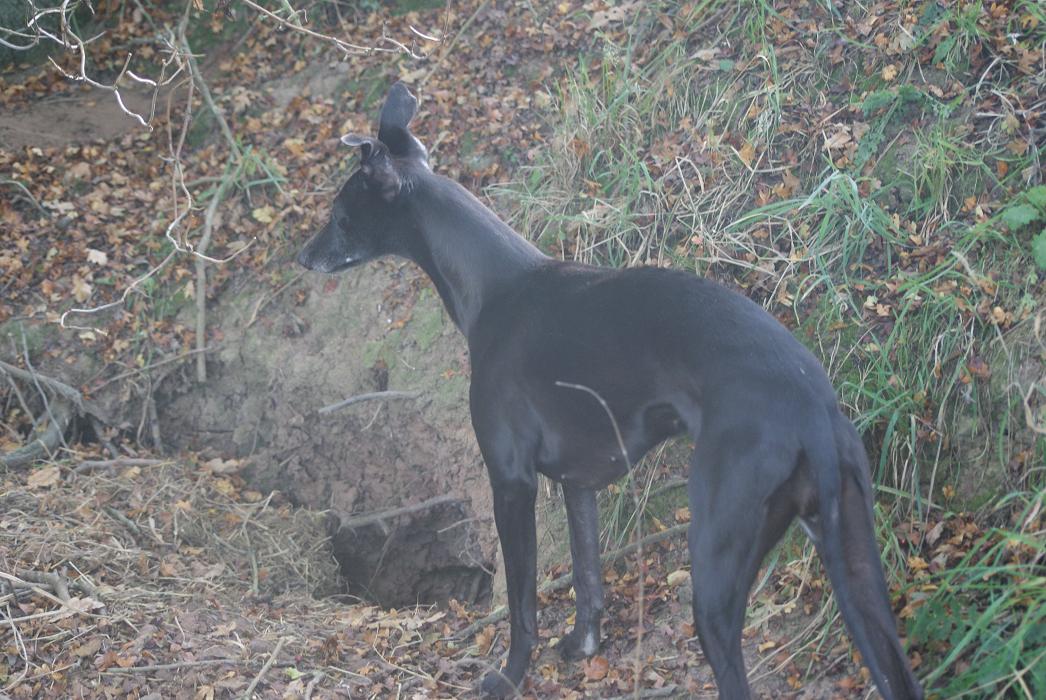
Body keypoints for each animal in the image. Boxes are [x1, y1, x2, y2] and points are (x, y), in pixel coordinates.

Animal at [297, 82, 923, 700]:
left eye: (339, 215)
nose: (301, 258)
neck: (497, 285)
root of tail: (811, 408)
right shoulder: (578, 484)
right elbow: (587, 576)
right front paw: (583, 646)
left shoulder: (511, 483)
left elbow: (522, 603)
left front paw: (509, 676)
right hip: (855, 562)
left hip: (715, 569)